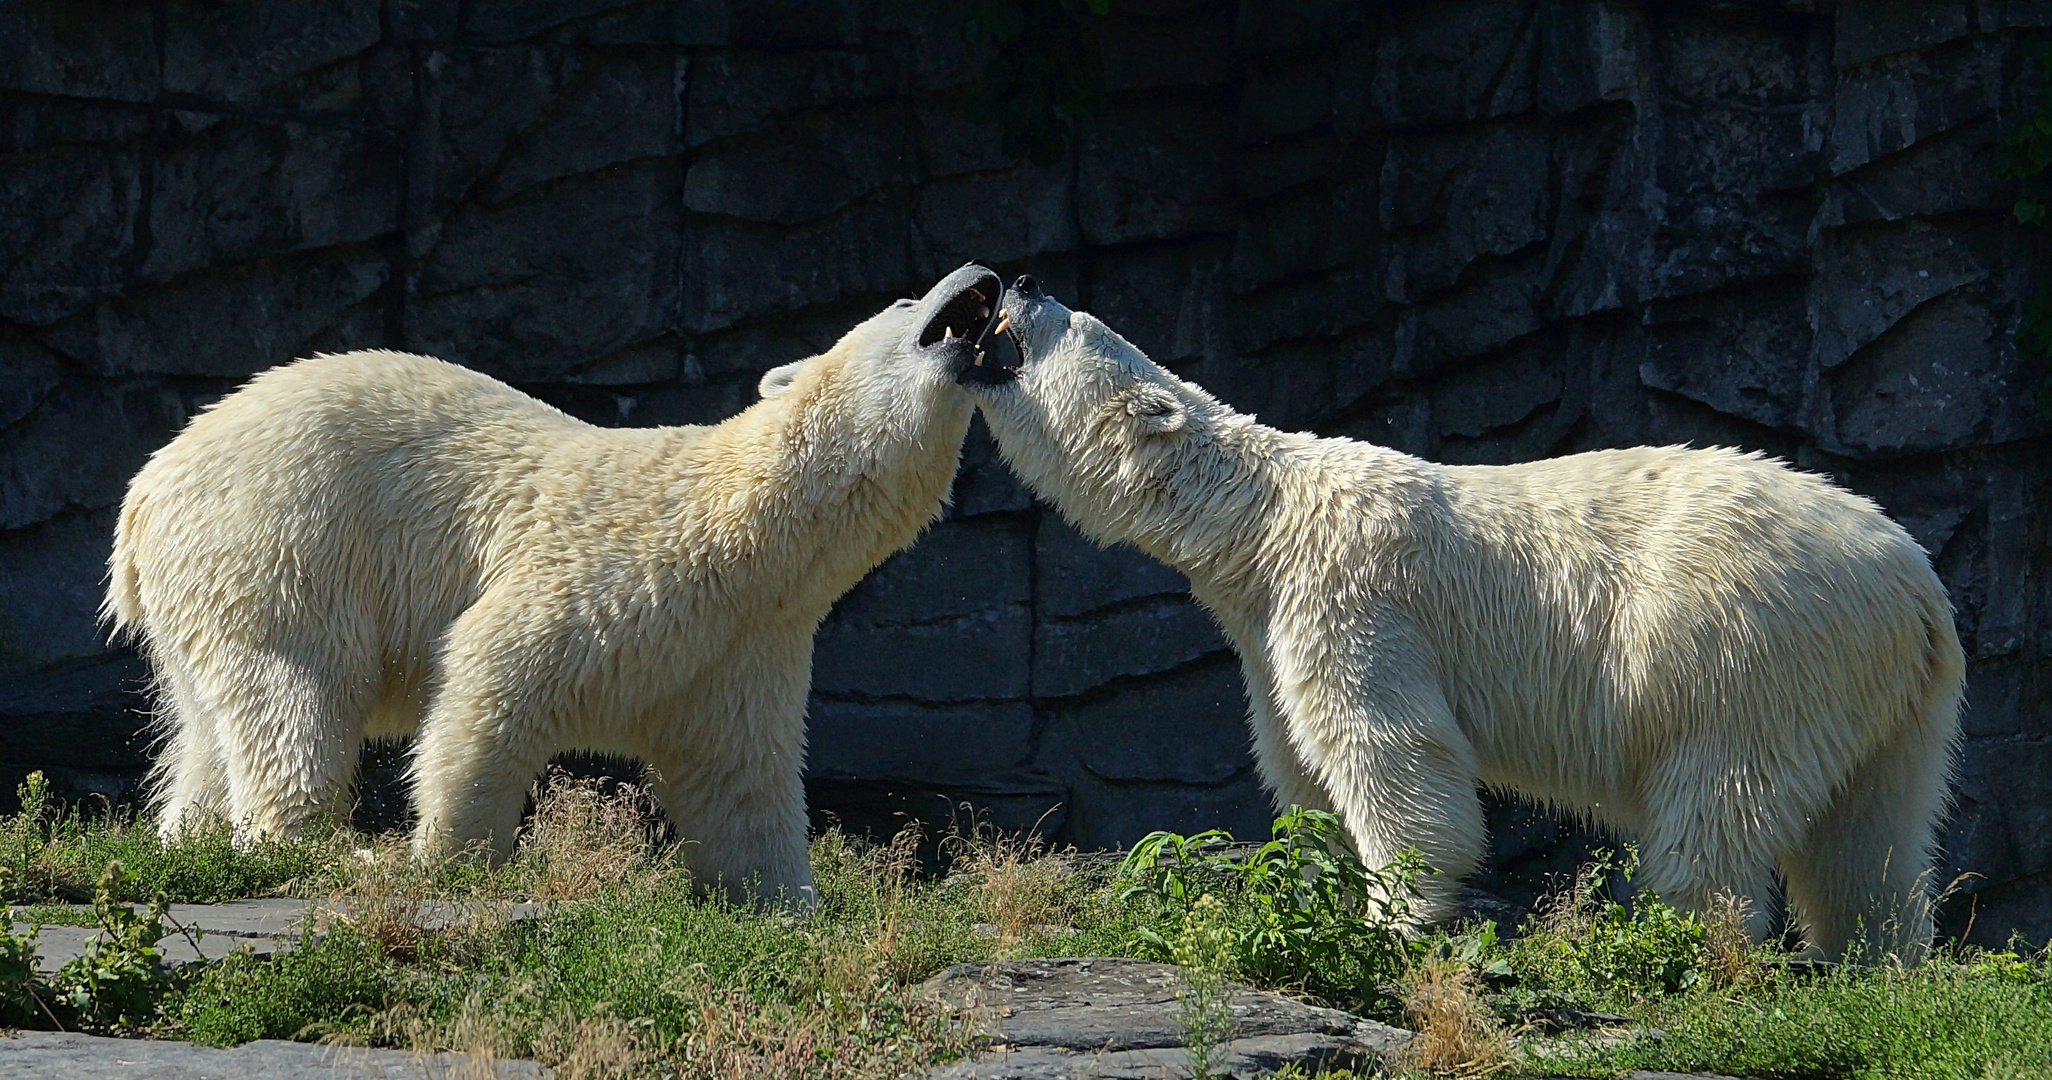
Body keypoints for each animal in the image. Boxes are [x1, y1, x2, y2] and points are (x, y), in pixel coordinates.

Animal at [110, 264, 1009, 907]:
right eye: (907, 297)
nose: (987, 273)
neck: (738, 532)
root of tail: (147, 490)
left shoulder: (740, 646)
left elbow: (741, 781)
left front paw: (788, 905)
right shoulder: (613, 571)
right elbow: (490, 678)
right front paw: (449, 862)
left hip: (210, 584)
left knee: (212, 727)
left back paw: (186, 839)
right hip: (280, 540)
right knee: (297, 698)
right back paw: (318, 846)